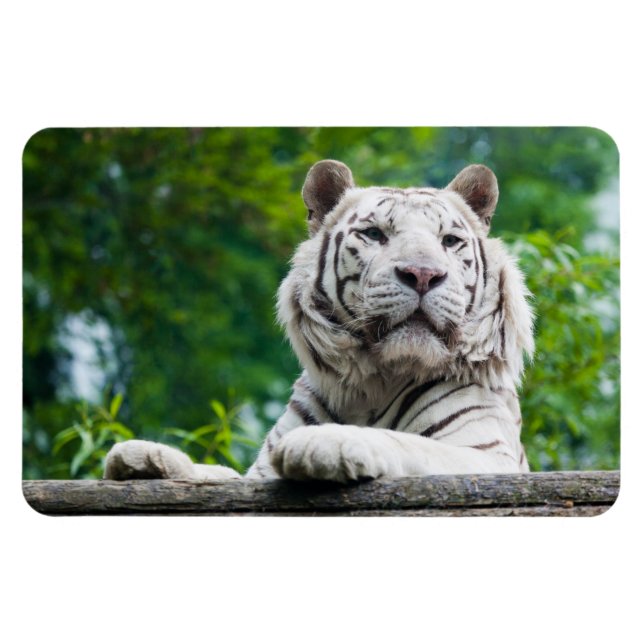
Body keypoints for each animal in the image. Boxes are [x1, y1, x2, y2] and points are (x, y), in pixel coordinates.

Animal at [104, 160, 534, 483]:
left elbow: (406, 442)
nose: (422, 274)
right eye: (374, 234)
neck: (373, 383)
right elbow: (219, 472)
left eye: (449, 241)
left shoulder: (486, 456)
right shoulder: (257, 475)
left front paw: (323, 442)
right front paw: (143, 457)